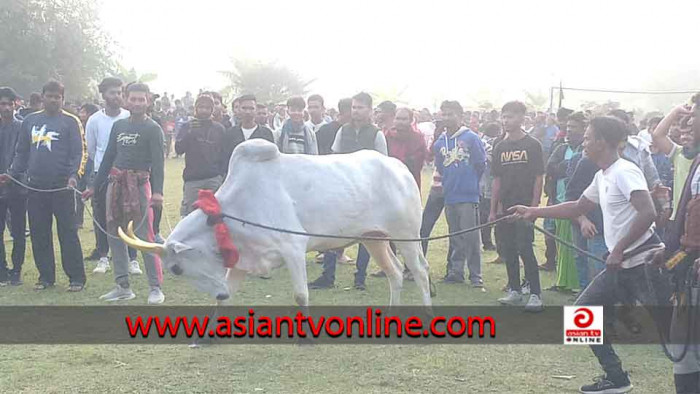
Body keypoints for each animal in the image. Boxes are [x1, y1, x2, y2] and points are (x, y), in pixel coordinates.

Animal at [123, 139, 434, 308]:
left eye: (176, 268)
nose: (218, 289)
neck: (235, 209)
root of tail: (400, 167)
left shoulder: (293, 248)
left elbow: (300, 296)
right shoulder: (241, 261)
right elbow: (224, 300)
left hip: (407, 236)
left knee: (420, 271)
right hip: (373, 238)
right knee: (395, 272)